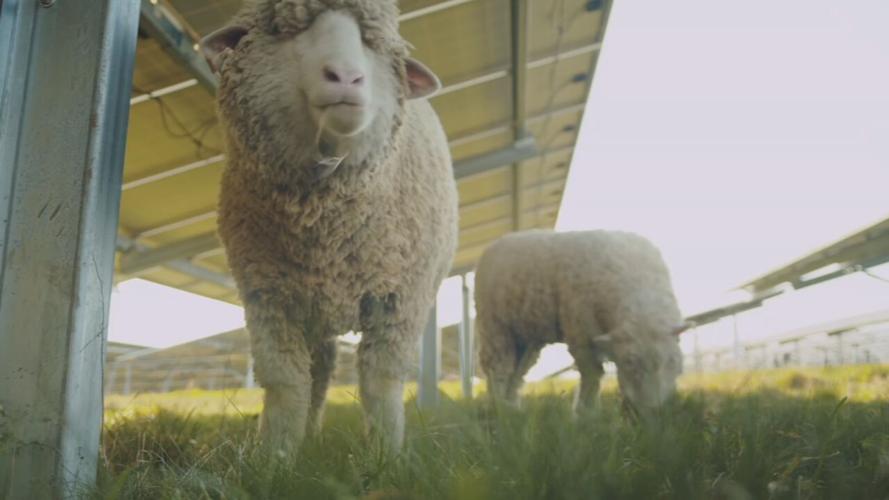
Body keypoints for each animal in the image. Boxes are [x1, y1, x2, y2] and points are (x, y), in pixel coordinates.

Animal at [198, 0, 458, 455]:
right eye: (287, 31)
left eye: (372, 43)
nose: (347, 77)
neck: (323, 232)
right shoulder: (267, 297)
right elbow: (285, 382)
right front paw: (276, 456)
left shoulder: (399, 301)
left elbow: (381, 382)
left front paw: (386, 455)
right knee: (318, 373)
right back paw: (309, 433)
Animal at [474, 229, 689, 415]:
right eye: (629, 362)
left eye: (672, 361)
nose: (654, 411)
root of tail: (498, 241)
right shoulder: (581, 332)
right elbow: (593, 374)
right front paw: (586, 414)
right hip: (494, 325)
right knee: (497, 368)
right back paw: (498, 409)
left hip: (526, 337)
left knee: (517, 372)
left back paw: (511, 408)